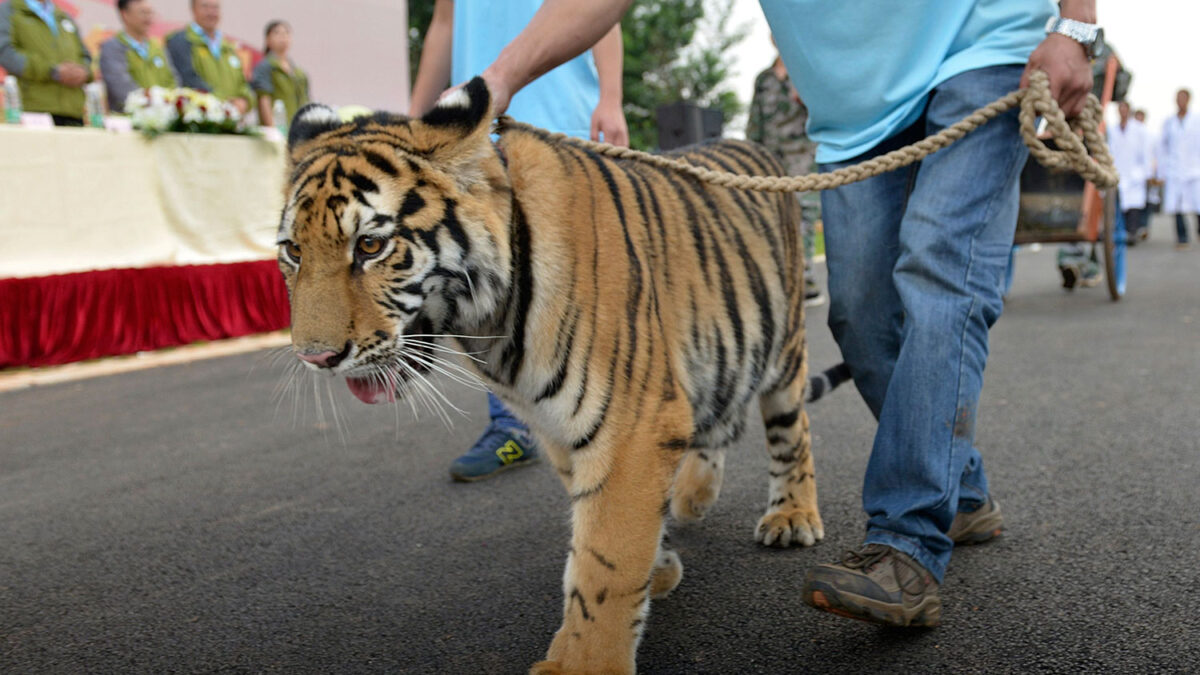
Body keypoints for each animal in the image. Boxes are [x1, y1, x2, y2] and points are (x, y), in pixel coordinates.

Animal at [276, 77, 830, 667]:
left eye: (371, 245)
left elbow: (606, 557)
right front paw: (657, 567)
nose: (315, 357)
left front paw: (583, 664)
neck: (488, 325)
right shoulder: (555, 425)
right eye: (293, 251)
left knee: (792, 429)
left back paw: (791, 517)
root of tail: (754, 147)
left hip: (784, 345)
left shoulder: (633, 425)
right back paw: (692, 496)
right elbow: (594, 529)